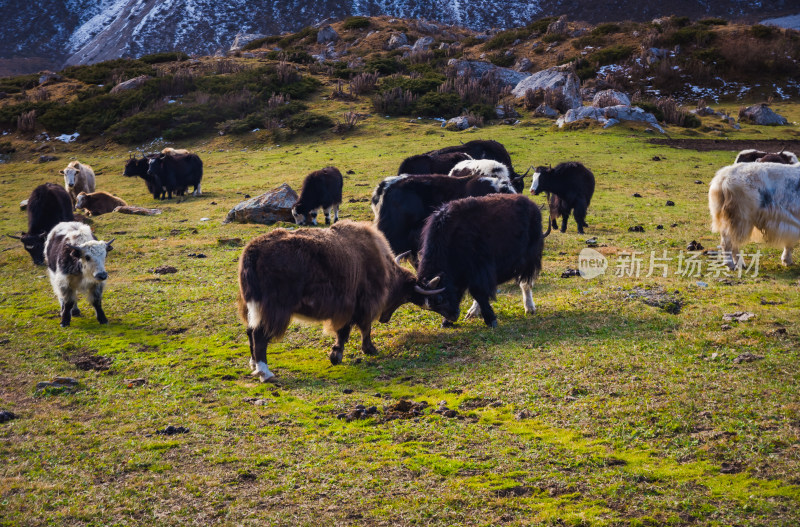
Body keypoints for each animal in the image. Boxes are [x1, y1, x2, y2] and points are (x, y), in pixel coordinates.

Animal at [236, 221, 444, 382]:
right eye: (405, 296)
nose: (385, 319)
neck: (384, 269)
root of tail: (252, 252)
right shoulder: (361, 304)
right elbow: (360, 329)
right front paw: (363, 350)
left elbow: (348, 331)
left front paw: (338, 354)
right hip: (274, 308)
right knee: (259, 335)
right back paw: (266, 373)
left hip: (251, 307)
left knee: (249, 331)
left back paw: (254, 365)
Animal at [412, 194, 552, 326]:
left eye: (439, 299)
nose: (454, 317)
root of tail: (532, 205)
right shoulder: (462, 273)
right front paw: (447, 322)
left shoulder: (479, 268)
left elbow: (478, 292)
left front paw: (491, 320)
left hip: (528, 259)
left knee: (525, 282)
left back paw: (529, 308)